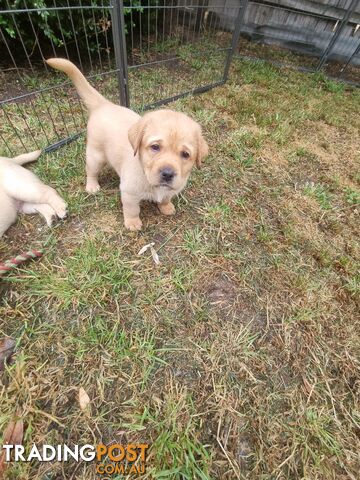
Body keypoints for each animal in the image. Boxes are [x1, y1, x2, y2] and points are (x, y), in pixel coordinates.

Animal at [45, 58, 208, 231]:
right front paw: (132, 223)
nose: (167, 174)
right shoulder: (129, 193)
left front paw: (166, 207)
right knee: (91, 171)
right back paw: (92, 186)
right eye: (155, 147)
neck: (145, 173)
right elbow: (132, 209)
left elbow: (165, 197)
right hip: (95, 156)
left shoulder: (173, 187)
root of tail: (104, 104)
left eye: (185, 154)